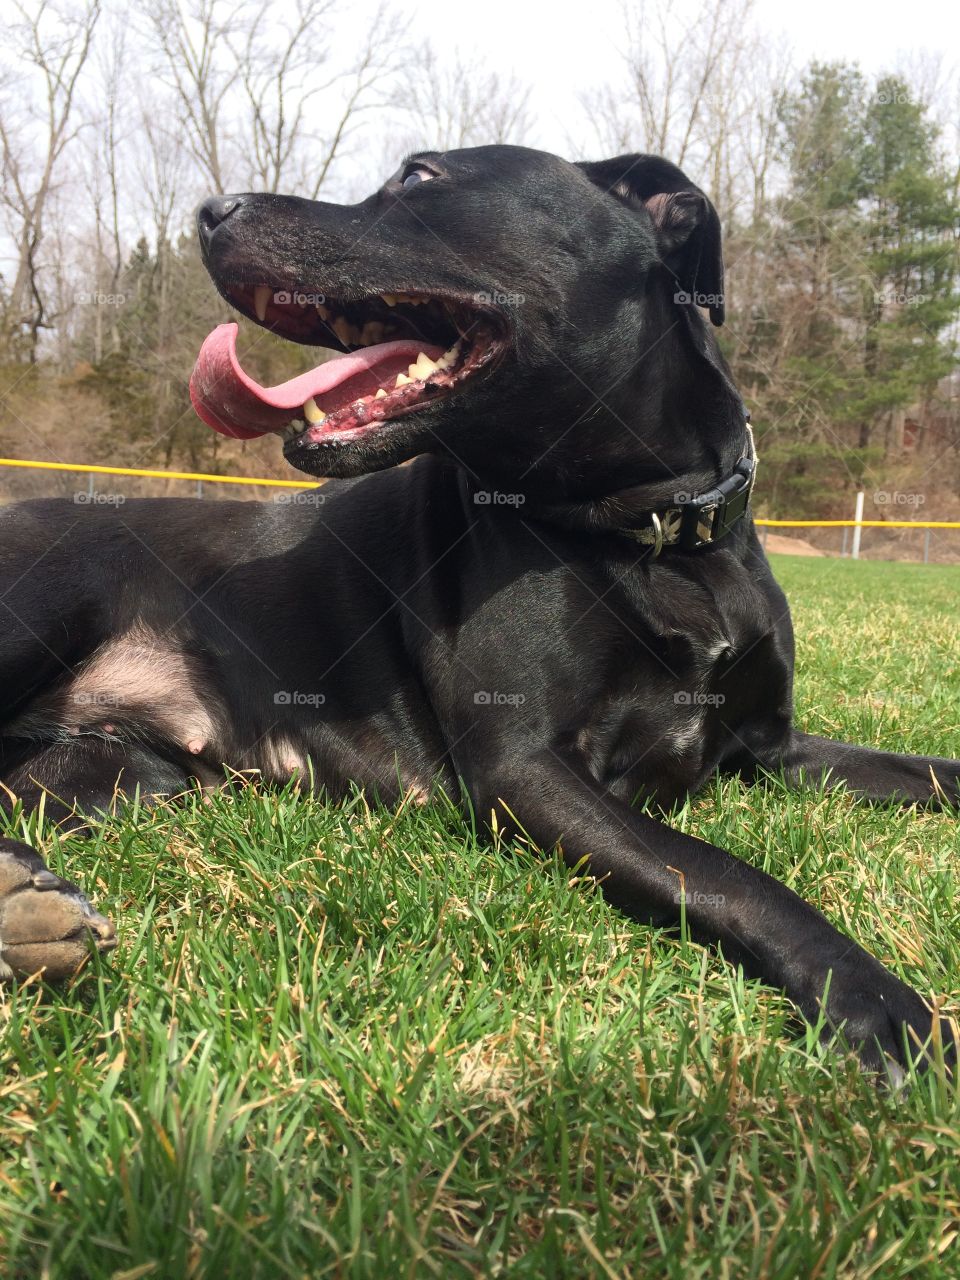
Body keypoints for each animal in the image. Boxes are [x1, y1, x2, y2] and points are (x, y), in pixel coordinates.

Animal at [0, 149, 957, 1080]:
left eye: (419, 177)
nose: (211, 210)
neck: (662, 537)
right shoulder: (525, 769)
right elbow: (726, 873)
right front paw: (871, 996)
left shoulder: (775, 748)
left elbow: (924, 773)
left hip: (116, 772)